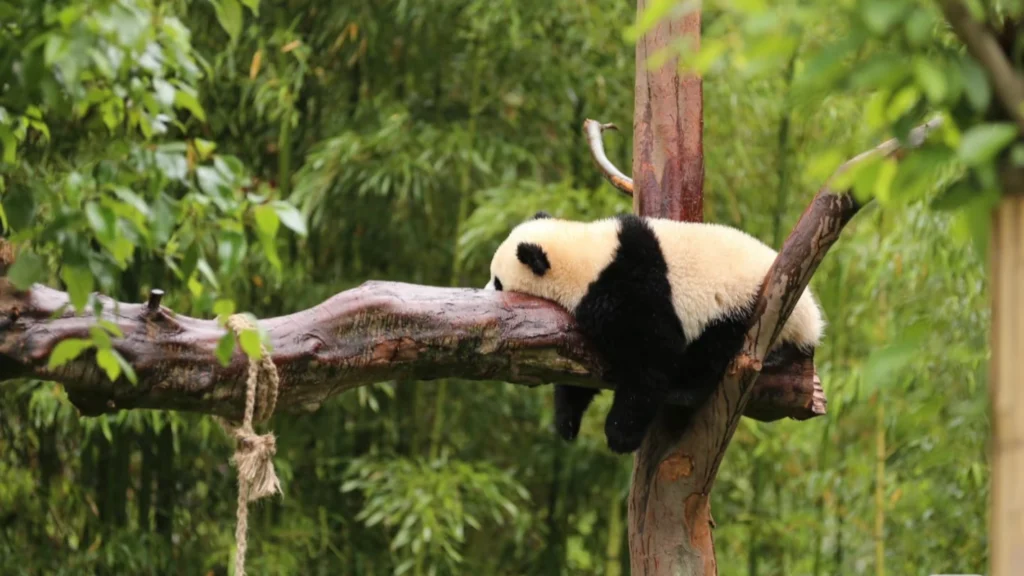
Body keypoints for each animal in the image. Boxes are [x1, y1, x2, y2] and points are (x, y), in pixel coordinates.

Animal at [484, 211, 825, 454]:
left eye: (497, 281)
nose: (485, 291)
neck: (587, 254)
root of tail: (811, 321)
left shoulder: (630, 292)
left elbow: (652, 359)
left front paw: (619, 435)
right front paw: (567, 421)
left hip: (743, 309)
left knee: (712, 349)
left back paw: (685, 389)